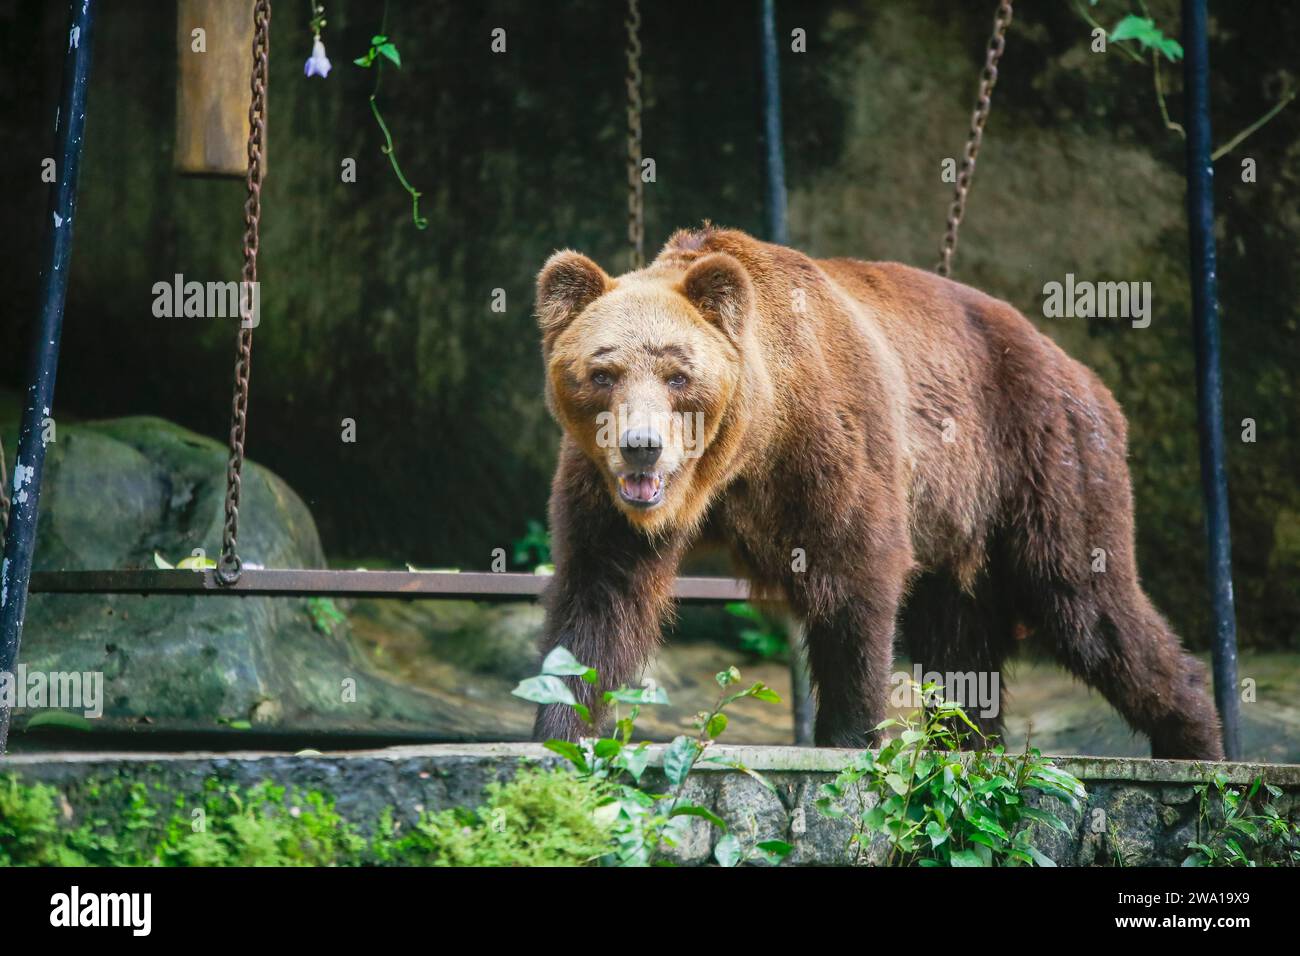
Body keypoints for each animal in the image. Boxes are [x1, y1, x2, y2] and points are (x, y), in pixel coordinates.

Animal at [527, 226, 1216, 764]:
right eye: (602, 372)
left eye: (678, 373)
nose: (642, 446)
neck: (742, 451)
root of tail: (1079, 370)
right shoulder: (603, 489)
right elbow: (598, 600)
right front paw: (558, 731)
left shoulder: (831, 442)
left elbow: (854, 575)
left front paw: (850, 737)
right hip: (957, 525)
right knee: (961, 640)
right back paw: (969, 744)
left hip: (1043, 453)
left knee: (1086, 598)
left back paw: (1195, 742)